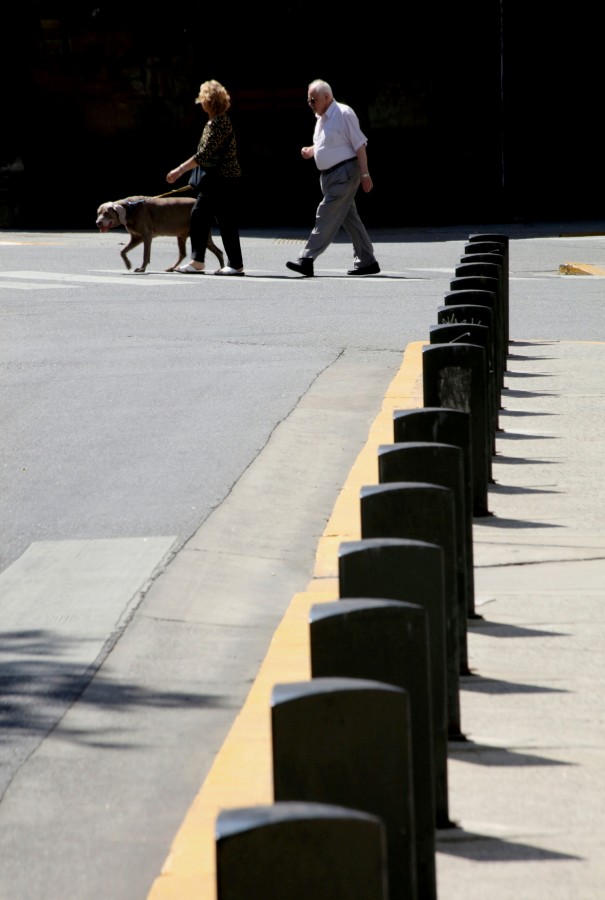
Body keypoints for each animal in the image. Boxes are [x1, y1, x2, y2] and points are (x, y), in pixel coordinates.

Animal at [94, 192, 224, 270]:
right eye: (98, 213)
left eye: (107, 213)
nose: (98, 222)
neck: (130, 209)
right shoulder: (137, 237)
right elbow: (122, 251)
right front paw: (128, 264)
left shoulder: (146, 235)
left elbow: (146, 254)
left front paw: (142, 268)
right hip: (182, 235)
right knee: (184, 253)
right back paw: (172, 268)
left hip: (199, 232)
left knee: (218, 252)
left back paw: (222, 269)